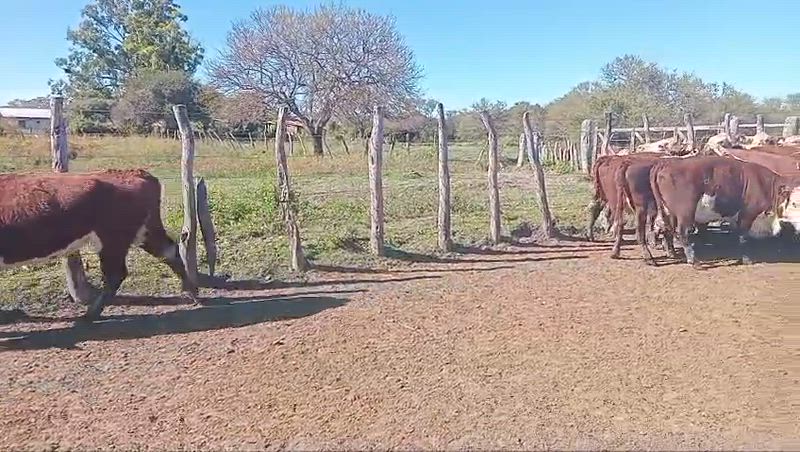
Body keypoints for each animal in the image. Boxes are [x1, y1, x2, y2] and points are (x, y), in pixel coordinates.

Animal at [0, 169, 198, 320]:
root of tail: (137, 173)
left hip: (112, 240)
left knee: (115, 274)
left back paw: (90, 314)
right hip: (143, 232)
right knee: (169, 251)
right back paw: (191, 292)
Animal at [649, 156, 800, 266]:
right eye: (794, 203)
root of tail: (666, 163)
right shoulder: (747, 215)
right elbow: (743, 237)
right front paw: (747, 259)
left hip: (669, 212)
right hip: (685, 212)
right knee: (683, 232)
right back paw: (693, 260)